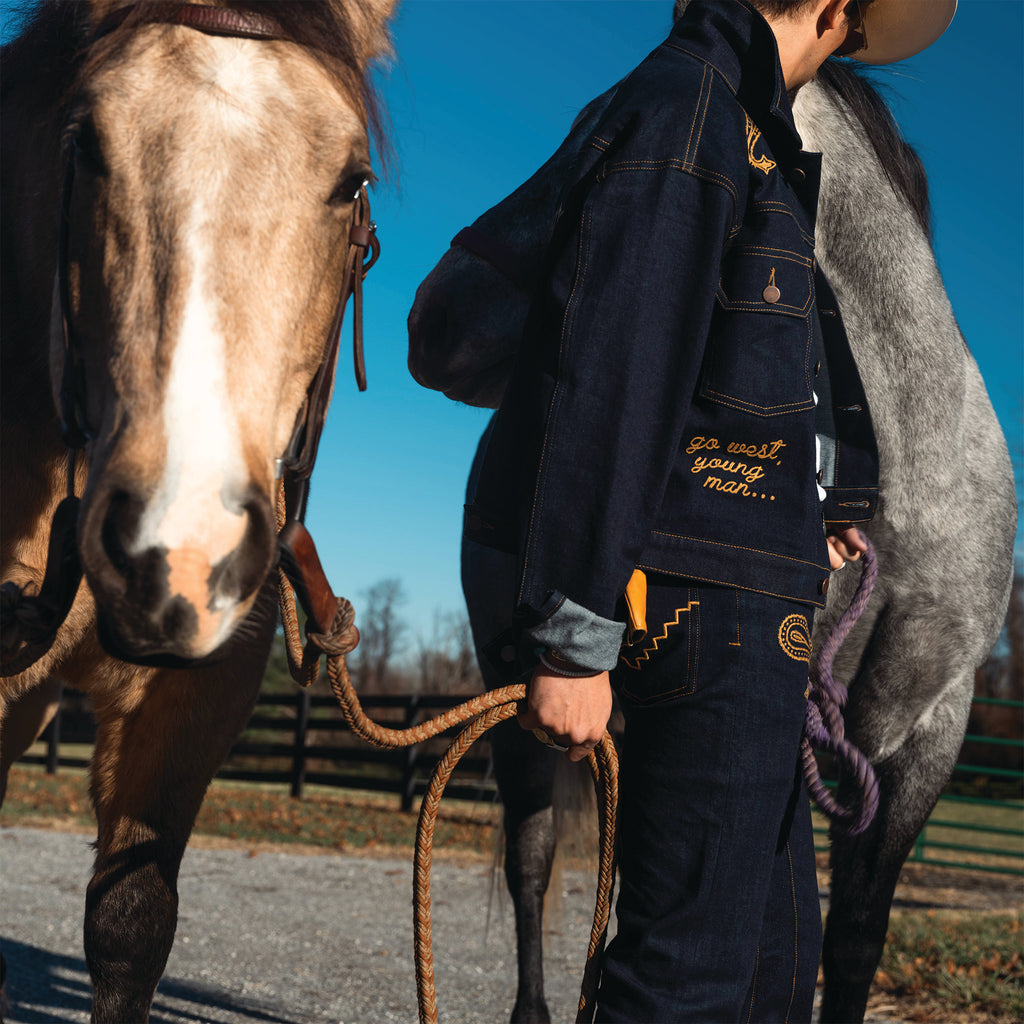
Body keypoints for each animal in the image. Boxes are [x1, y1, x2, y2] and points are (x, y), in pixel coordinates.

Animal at [405, 9, 1015, 1024]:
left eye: (598, 128)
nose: (429, 317)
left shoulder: (927, 732)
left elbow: (850, 942)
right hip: (519, 681)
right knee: (532, 858)